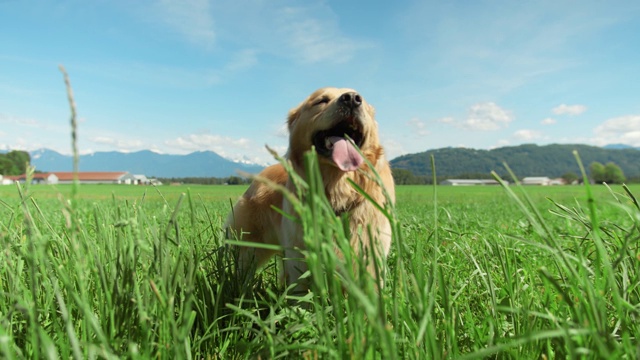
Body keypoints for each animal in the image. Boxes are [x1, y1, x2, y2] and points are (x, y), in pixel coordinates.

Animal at [225, 87, 396, 292]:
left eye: (359, 97)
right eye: (321, 101)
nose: (352, 99)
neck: (337, 188)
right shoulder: (301, 258)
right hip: (250, 246)